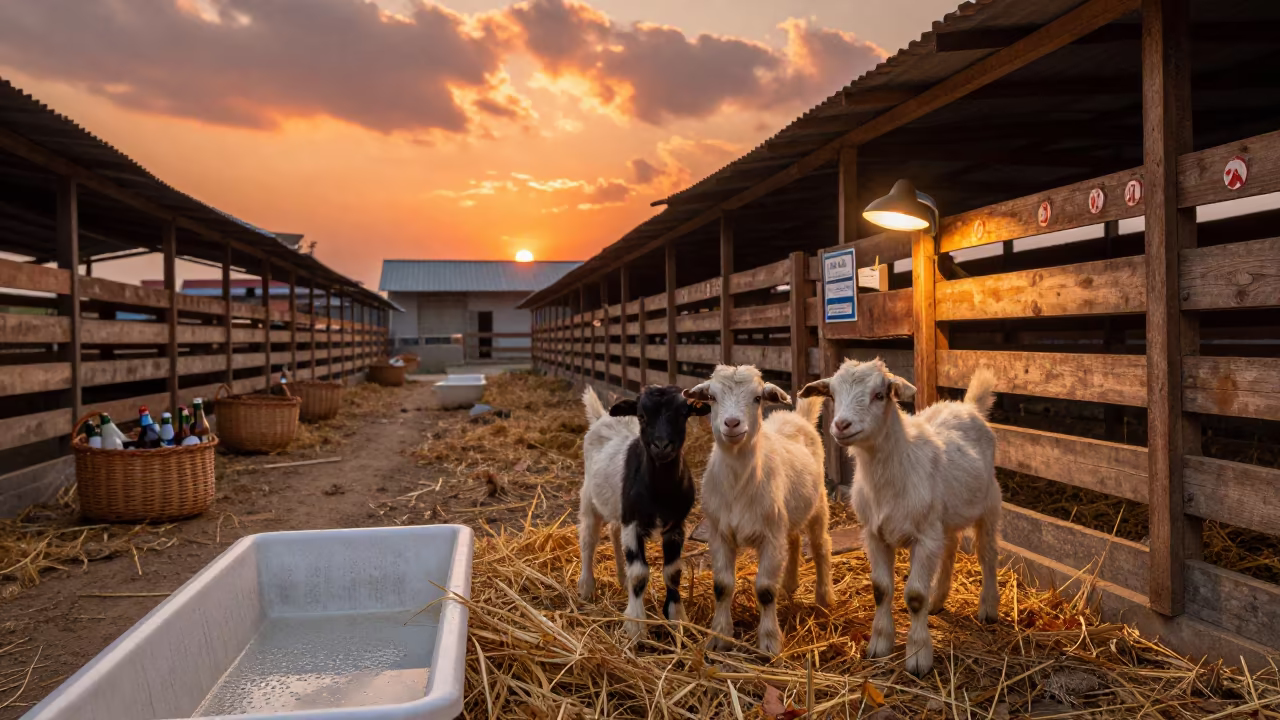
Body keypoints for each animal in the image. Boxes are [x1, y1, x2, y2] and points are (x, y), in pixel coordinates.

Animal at [579, 385, 710, 641]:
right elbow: (639, 573)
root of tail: (601, 417)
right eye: (641, 416)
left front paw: (677, 618)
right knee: (589, 539)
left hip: (617, 506)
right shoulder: (634, 522)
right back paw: (586, 587)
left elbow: (673, 572)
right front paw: (636, 625)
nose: (661, 446)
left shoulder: (676, 525)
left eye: (683, 413)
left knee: (614, 531)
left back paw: (621, 578)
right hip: (590, 497)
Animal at [683, 365, 832, 656]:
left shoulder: (770, 538)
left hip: (818, 502)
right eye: (712, 397)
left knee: (821, 545)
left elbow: (764, 590)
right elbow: (722, 586)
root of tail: (797, 417)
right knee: (793, 539)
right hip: (787, 511)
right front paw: (720, 636)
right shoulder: (719, 534)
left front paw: (770, 642)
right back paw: (789, 585)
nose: (731, 423)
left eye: (757, 398)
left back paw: (823, 598)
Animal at [799, 359, 1000, 677]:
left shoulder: (924, 538)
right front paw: (879, 644)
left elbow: (915, 596)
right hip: (944, 517)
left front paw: (918, 656)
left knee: (987, 553)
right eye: (832, 394)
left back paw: (989, 608)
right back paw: (938, 600)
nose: (841, 425)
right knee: (951, 548)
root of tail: (967, 406)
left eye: (880, 395)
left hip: (990, 501)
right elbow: (881, 590)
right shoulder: (874, 534)